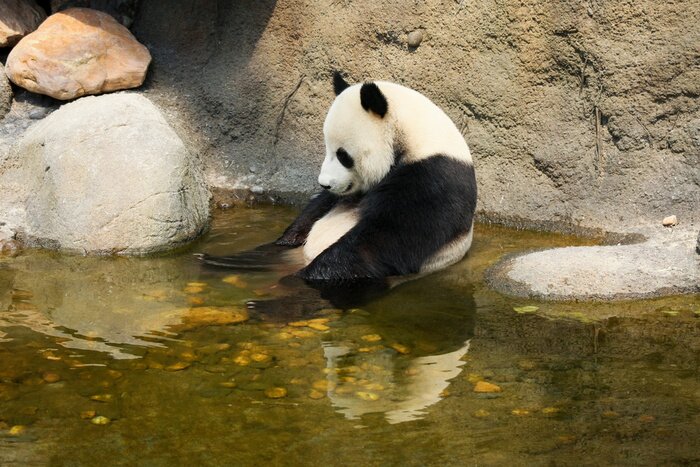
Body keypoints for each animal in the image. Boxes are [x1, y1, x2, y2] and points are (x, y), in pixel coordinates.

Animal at [203, 72, 477, 286]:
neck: (417, 139)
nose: (324, 183)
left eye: (343, 155)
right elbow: (317, 208)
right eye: (326, 148)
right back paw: (222, 260)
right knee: (273, 251)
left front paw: (302, 278)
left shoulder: (433, 179)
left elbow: (385, 238)